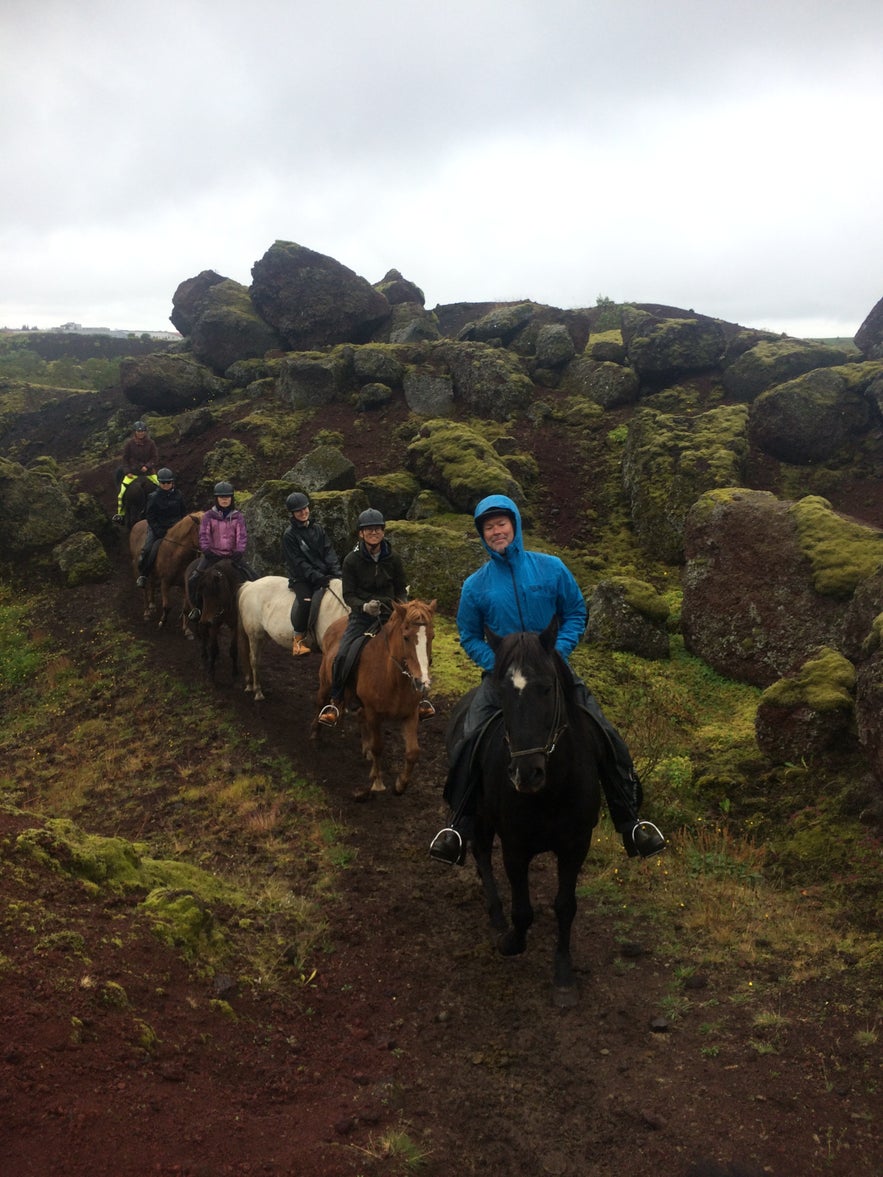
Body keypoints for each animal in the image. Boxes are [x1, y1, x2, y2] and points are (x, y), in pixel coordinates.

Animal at [310, 597, 440, 800]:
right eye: (406, 637)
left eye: (432, 636)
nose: (422, 682)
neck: (394, 678)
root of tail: (336, 624)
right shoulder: (374, 713)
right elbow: (379, 746)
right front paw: (378, 782)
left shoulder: (410, 715)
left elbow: (413, 752)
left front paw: (400, 785)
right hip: (326, 682)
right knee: (321, 702)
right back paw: (316, 733)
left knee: (360, 716)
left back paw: (366, 749)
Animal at [452, 616, 607, 1012]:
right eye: (503, 692)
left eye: (547, 688)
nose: (527, 774)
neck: (551, 791)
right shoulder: (515, 847)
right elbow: (522, 911)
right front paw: (511, 941)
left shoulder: (575, 846)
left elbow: (565, 906)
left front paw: (564, 977)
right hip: (480, 815)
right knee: (480, 852)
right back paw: (495, 914)